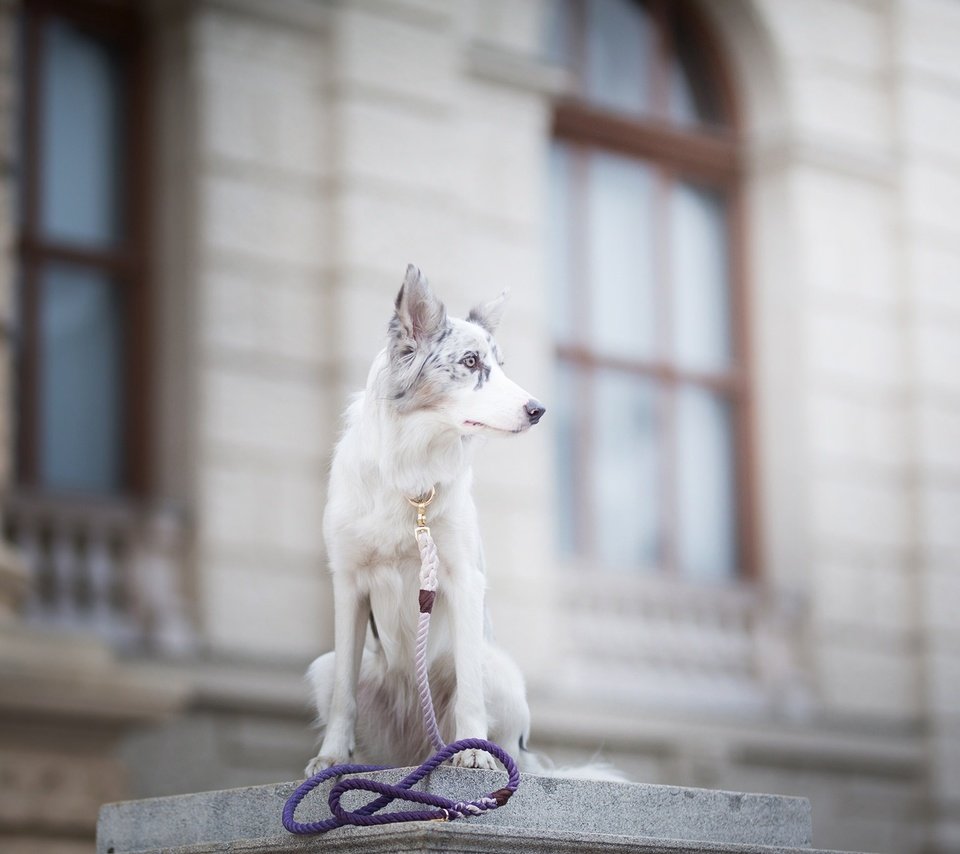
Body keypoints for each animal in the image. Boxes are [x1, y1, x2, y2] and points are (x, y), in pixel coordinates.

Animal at [308, 266, 548, 776]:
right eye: (471, 361)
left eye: (501, 365)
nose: (538, 410)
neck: (411, 472)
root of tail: (416, 750)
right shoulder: (348, 583)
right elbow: (343, 697)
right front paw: (332, 756)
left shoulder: (462, 579)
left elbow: (470, 693)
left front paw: (476, 751)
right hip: (324, 666)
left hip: (502, 673)